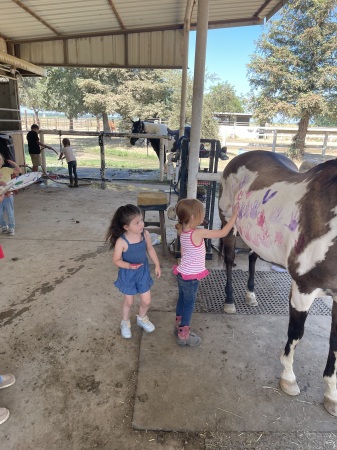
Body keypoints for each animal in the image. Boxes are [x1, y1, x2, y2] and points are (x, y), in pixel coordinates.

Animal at [218, 150, 336, 414]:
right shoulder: (303, 289)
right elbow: (296, 333)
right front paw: (288, 378)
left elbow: (335, 343)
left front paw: (331, 395)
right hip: (229, 225)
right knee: (230, 260)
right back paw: (230, 301)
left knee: (252, 256)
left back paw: (251, 295)